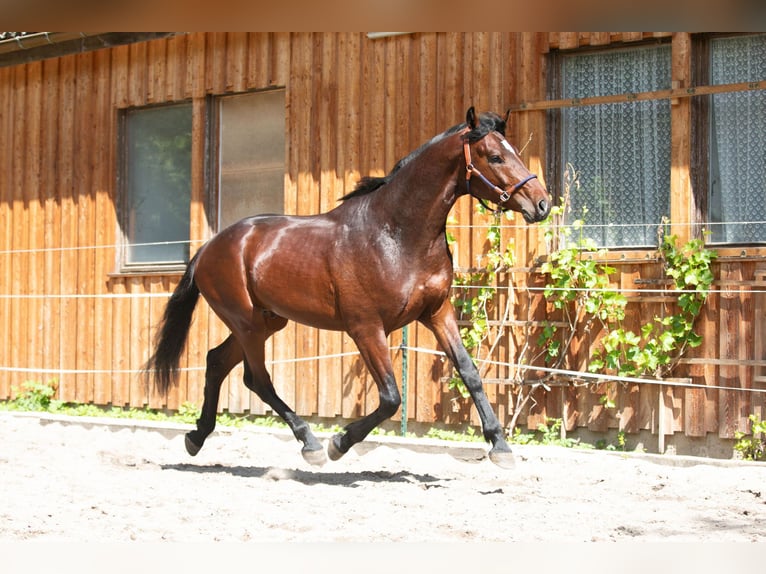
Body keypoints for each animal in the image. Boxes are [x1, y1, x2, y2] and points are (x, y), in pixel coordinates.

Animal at [146, 107, 552, 468]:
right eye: (495, 156)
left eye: (515, 152)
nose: (542, 204)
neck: (397, 234)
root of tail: (209, 248)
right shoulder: (366, 328)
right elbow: (390, 397)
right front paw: (339, 443)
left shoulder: (437, 313)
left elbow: (470, 373)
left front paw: (501, 446)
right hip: (247, 323)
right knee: (256, 379)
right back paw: (310, 443)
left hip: (266, 321)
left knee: (217, 362)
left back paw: (196, 437)